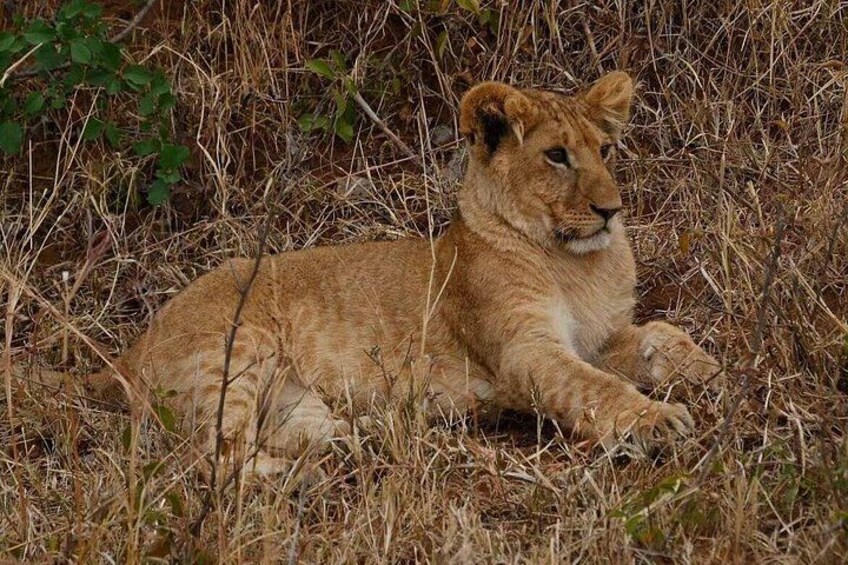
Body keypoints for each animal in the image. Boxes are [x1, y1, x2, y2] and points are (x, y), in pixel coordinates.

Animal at [42, 72, 722, 475]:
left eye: (604, 151)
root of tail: (128, 350)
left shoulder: (602, 336)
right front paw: (659, 421)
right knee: (213, 456)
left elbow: (660, 336)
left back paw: (368, 436)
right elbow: (594, 388)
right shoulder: (525, 352)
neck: (576, 261)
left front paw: (709, 369)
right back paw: (298, 473)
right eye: (557, 156)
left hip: (291, 398)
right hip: (233, 350)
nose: (612, 210)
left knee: (291, 434)